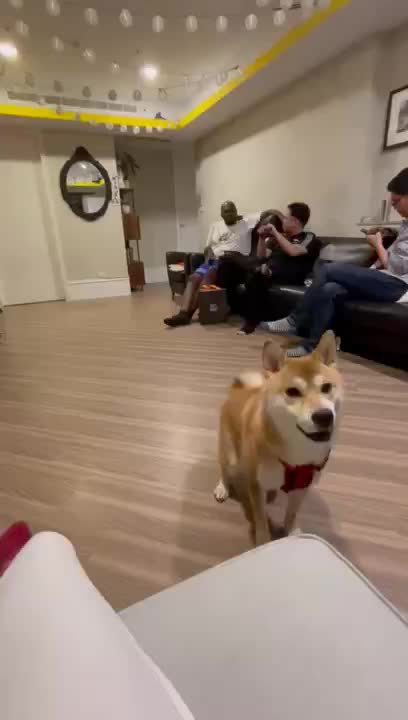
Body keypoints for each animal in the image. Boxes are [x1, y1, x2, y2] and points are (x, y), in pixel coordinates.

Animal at [214, 331, 343, 545]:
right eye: (292, 392)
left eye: (326, 387)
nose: (324, 416)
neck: (297, 454)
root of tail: (239, 388)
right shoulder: (255, 486)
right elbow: (260, 520)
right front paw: (264, 542)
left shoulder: (301, 488)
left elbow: (292, 514)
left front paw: (291, 533)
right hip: (231, 456)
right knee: (224, 470)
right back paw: (222, 487)